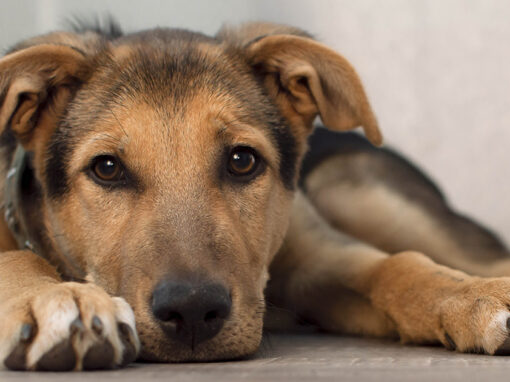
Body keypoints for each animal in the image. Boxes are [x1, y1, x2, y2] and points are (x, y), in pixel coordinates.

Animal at [0, 20, 510, 370]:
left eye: (242, 160)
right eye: (106, 168)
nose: (191, 311)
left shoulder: (315, 260)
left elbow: (396, 266)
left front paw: (474, 296)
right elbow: (17, 257)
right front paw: (57, 298)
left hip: (352, 191)